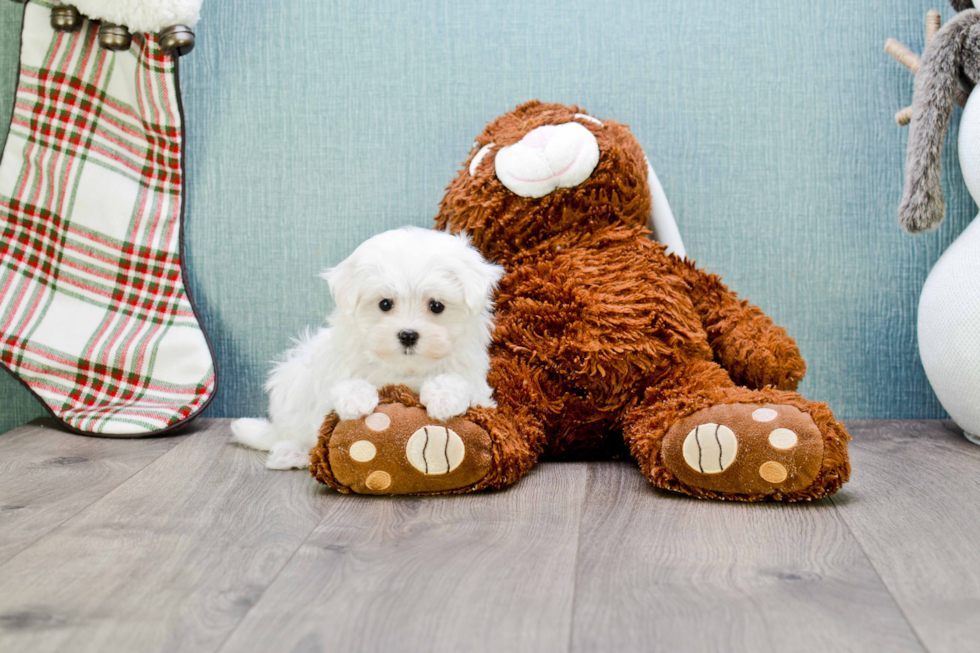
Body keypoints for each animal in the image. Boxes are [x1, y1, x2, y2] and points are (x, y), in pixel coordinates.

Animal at [231, 225, 506, 468]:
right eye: (385, 304)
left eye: (436, 306)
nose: (408, 335)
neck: (406, 368)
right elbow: (342, 386)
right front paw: (356, 399)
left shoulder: (476, 384)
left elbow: (459, 382)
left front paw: (444, 397)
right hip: (292, 382)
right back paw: (291, 454)